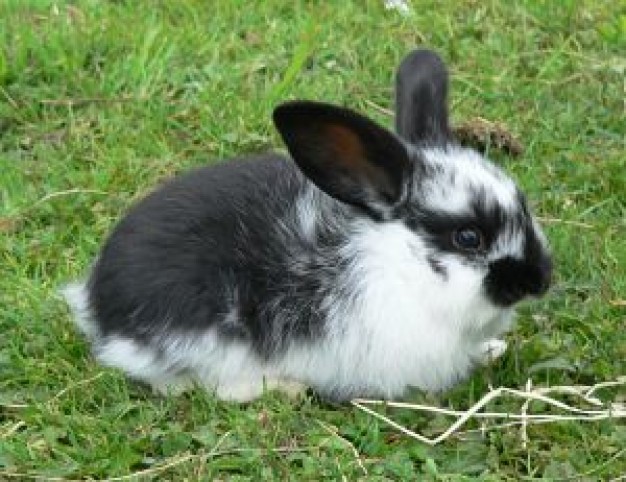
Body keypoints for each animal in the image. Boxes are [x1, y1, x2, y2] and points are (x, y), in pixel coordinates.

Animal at [64, 49, 552, 402]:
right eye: (469, 237)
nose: (540, 280)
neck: (400, 268)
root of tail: (97, 304)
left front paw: (492, 350)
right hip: (214, 345)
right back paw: (288, 387)